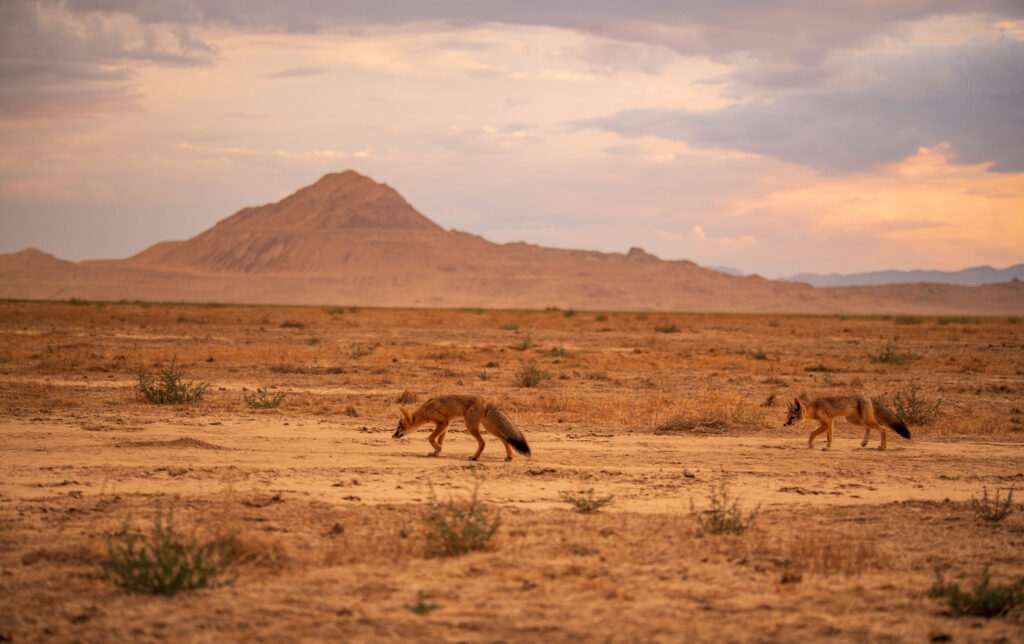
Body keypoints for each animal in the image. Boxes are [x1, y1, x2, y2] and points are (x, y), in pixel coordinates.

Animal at [392, 395, 531, 461]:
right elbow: (439, 440)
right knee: (505, 439)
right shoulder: (446, 425)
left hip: (471, 427)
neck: (425, 410)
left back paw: (474, 458)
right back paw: (509, 457)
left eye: (399, 427)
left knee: (483, 443)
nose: (393, 435)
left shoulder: (442, 423)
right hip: (488, 428)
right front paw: (436, 452)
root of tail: (485, 401)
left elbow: (430, 438)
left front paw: (437, 449)